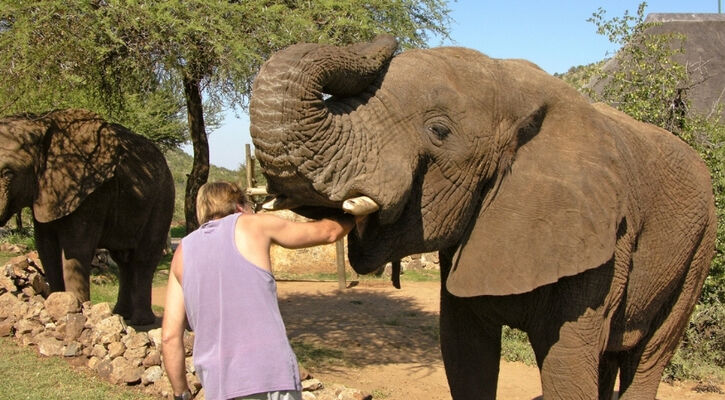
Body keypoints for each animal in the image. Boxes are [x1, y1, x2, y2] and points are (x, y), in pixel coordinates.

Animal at [0, 108, 175, 324]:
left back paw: (141, 321)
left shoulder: (92, 193)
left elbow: (76, 248)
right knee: (123, 260)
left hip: (162, 198)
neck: (38, 122)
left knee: (144, 258)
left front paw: (75, 310)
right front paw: (57, 306)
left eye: (8, 173)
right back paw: (121, 314)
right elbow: (46, 249)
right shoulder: (44, 193)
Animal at [250, 35, 720, 400]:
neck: (514, 89)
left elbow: (567, 365)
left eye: (439, 131)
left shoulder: (603, 244)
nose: (386, 40)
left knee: (650, 355)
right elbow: (463, 353)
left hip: (700, 248)